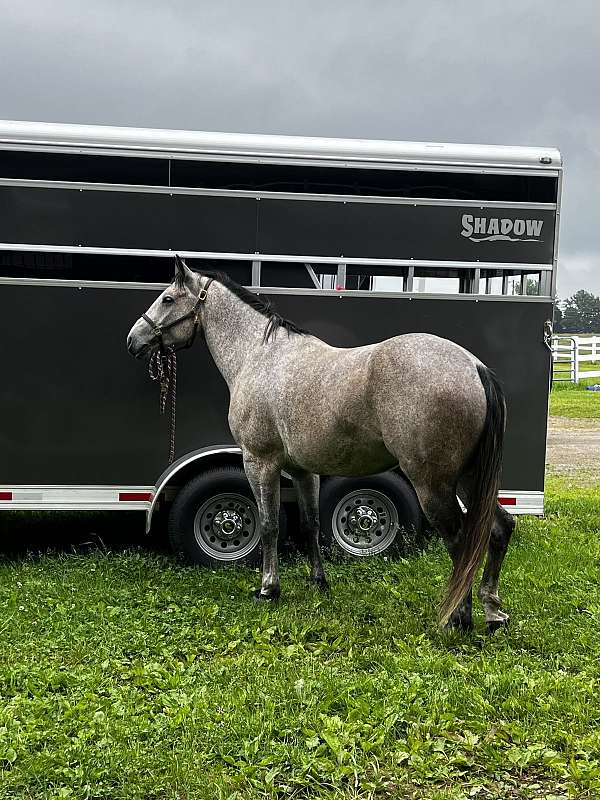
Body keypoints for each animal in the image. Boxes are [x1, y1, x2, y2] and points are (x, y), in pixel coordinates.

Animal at [125, 256, 510, 632]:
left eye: (167, 299)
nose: (133, 340)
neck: (260, 356)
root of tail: (474, 367)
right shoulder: (302, 470)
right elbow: (310, 523)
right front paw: (319, 582)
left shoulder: (259, 462)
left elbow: (269, 525)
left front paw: (268, 589)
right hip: (468, 479)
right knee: (499, 528)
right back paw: (492, 612)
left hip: (433, 485)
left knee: (460, 543)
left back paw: (459, 619)